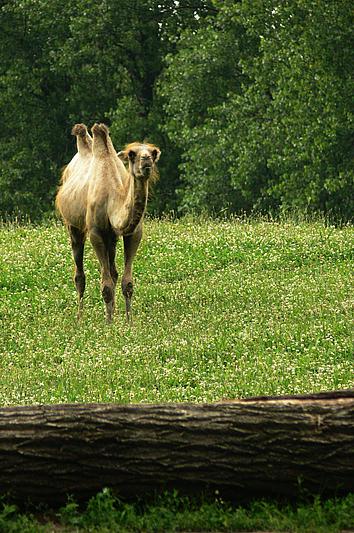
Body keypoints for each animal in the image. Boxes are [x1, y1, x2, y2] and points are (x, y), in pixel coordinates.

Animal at [56, 124, 161, 322]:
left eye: (153, 152)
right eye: (132, 154)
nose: (147, 161)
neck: (112, 196)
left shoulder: (132, 233)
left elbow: (127, 282)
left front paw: (128, 322)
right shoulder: (95, 232)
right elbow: (105, 286)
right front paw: (109, 323)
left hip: (111, 238)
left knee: (113, 272)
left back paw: (113, 312)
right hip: (73, 226)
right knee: (79, 275)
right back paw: (79, 317)